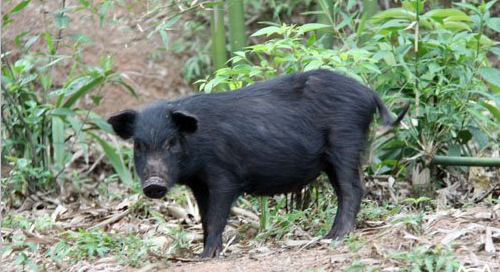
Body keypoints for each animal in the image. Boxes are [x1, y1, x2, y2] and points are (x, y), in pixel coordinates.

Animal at [107, 69, 408, 258]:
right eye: (138, 145)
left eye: (171, 142)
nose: (153, 184)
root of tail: (369, 93)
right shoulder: (199, 184)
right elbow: (204, 217)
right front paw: (202, 252)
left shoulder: (223, 175)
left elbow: (217, 215)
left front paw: (207, 256)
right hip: (332, 157)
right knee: (345, 190)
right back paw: (328, 235)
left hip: (345, 141)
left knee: (352, 189)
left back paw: (336, 237)